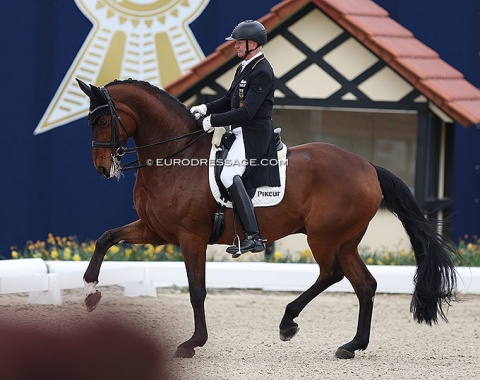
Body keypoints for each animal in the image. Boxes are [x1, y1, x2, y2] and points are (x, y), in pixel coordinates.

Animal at [76, 78, 458, 360]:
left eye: (104, 120)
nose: (101, 168)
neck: (174, 157)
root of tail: (367, 166)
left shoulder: (190, 237)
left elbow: (197, 291)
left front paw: (192, 343)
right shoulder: (155, 231)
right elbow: (106, 237)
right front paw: (91, 291)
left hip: (323, 237)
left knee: (331, 274)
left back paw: (288, 322)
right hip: (346, 241)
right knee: (364, 284)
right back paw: (351, 346)